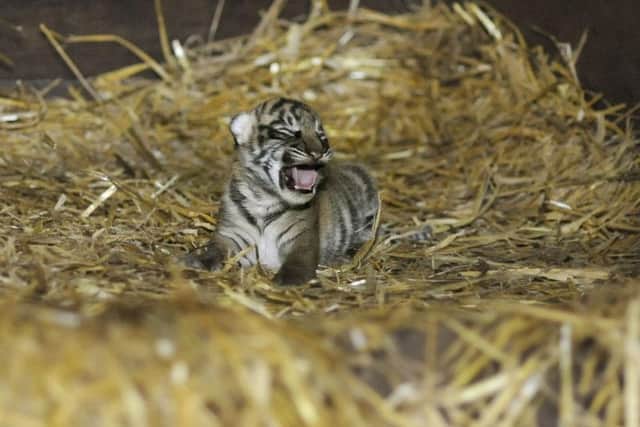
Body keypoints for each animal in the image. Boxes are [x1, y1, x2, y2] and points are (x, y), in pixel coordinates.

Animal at [184, 97, 379, 285]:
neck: (263, 199)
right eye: (290, 132)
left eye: (321, 136)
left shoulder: (302, 238)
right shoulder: (231, 234)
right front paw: (198, 262)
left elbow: (297, 261)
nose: (319, 152)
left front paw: (288, 280)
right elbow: (214, 250)